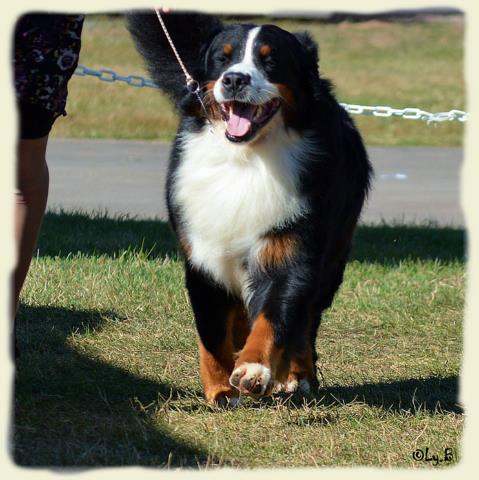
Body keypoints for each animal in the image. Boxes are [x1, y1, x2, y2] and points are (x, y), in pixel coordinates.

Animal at [128, 11, 376, 406]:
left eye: (270, 61)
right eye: (223, 58)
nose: (234, 79)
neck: (246, 158)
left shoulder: (292, 247)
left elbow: (275, 316)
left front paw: (253, 369)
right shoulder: (203, 255)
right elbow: (212, 332)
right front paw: (220, 388)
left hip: (332, 258)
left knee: (305, 320)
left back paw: (298, 376)